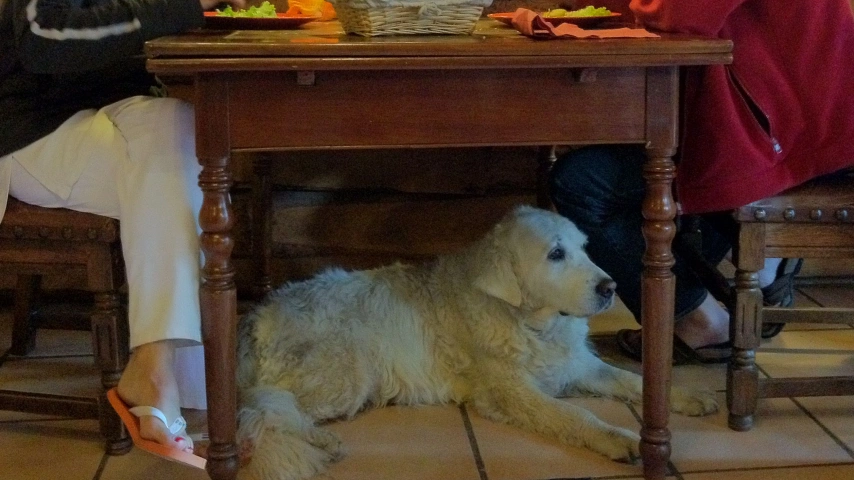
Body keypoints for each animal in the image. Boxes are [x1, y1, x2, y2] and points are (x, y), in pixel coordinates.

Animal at [232, 204, 716, 478]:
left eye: (584, 247)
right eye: (556, 254)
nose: (609, 287)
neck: (532, 323)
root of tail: (257, 313)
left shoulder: (579, 365)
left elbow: (635, 380)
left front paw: (688, 397)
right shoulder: (516, 392)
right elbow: (574, 414)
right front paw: (617, 437)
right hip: (348, 374)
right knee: (264, 408)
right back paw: (318, 442)